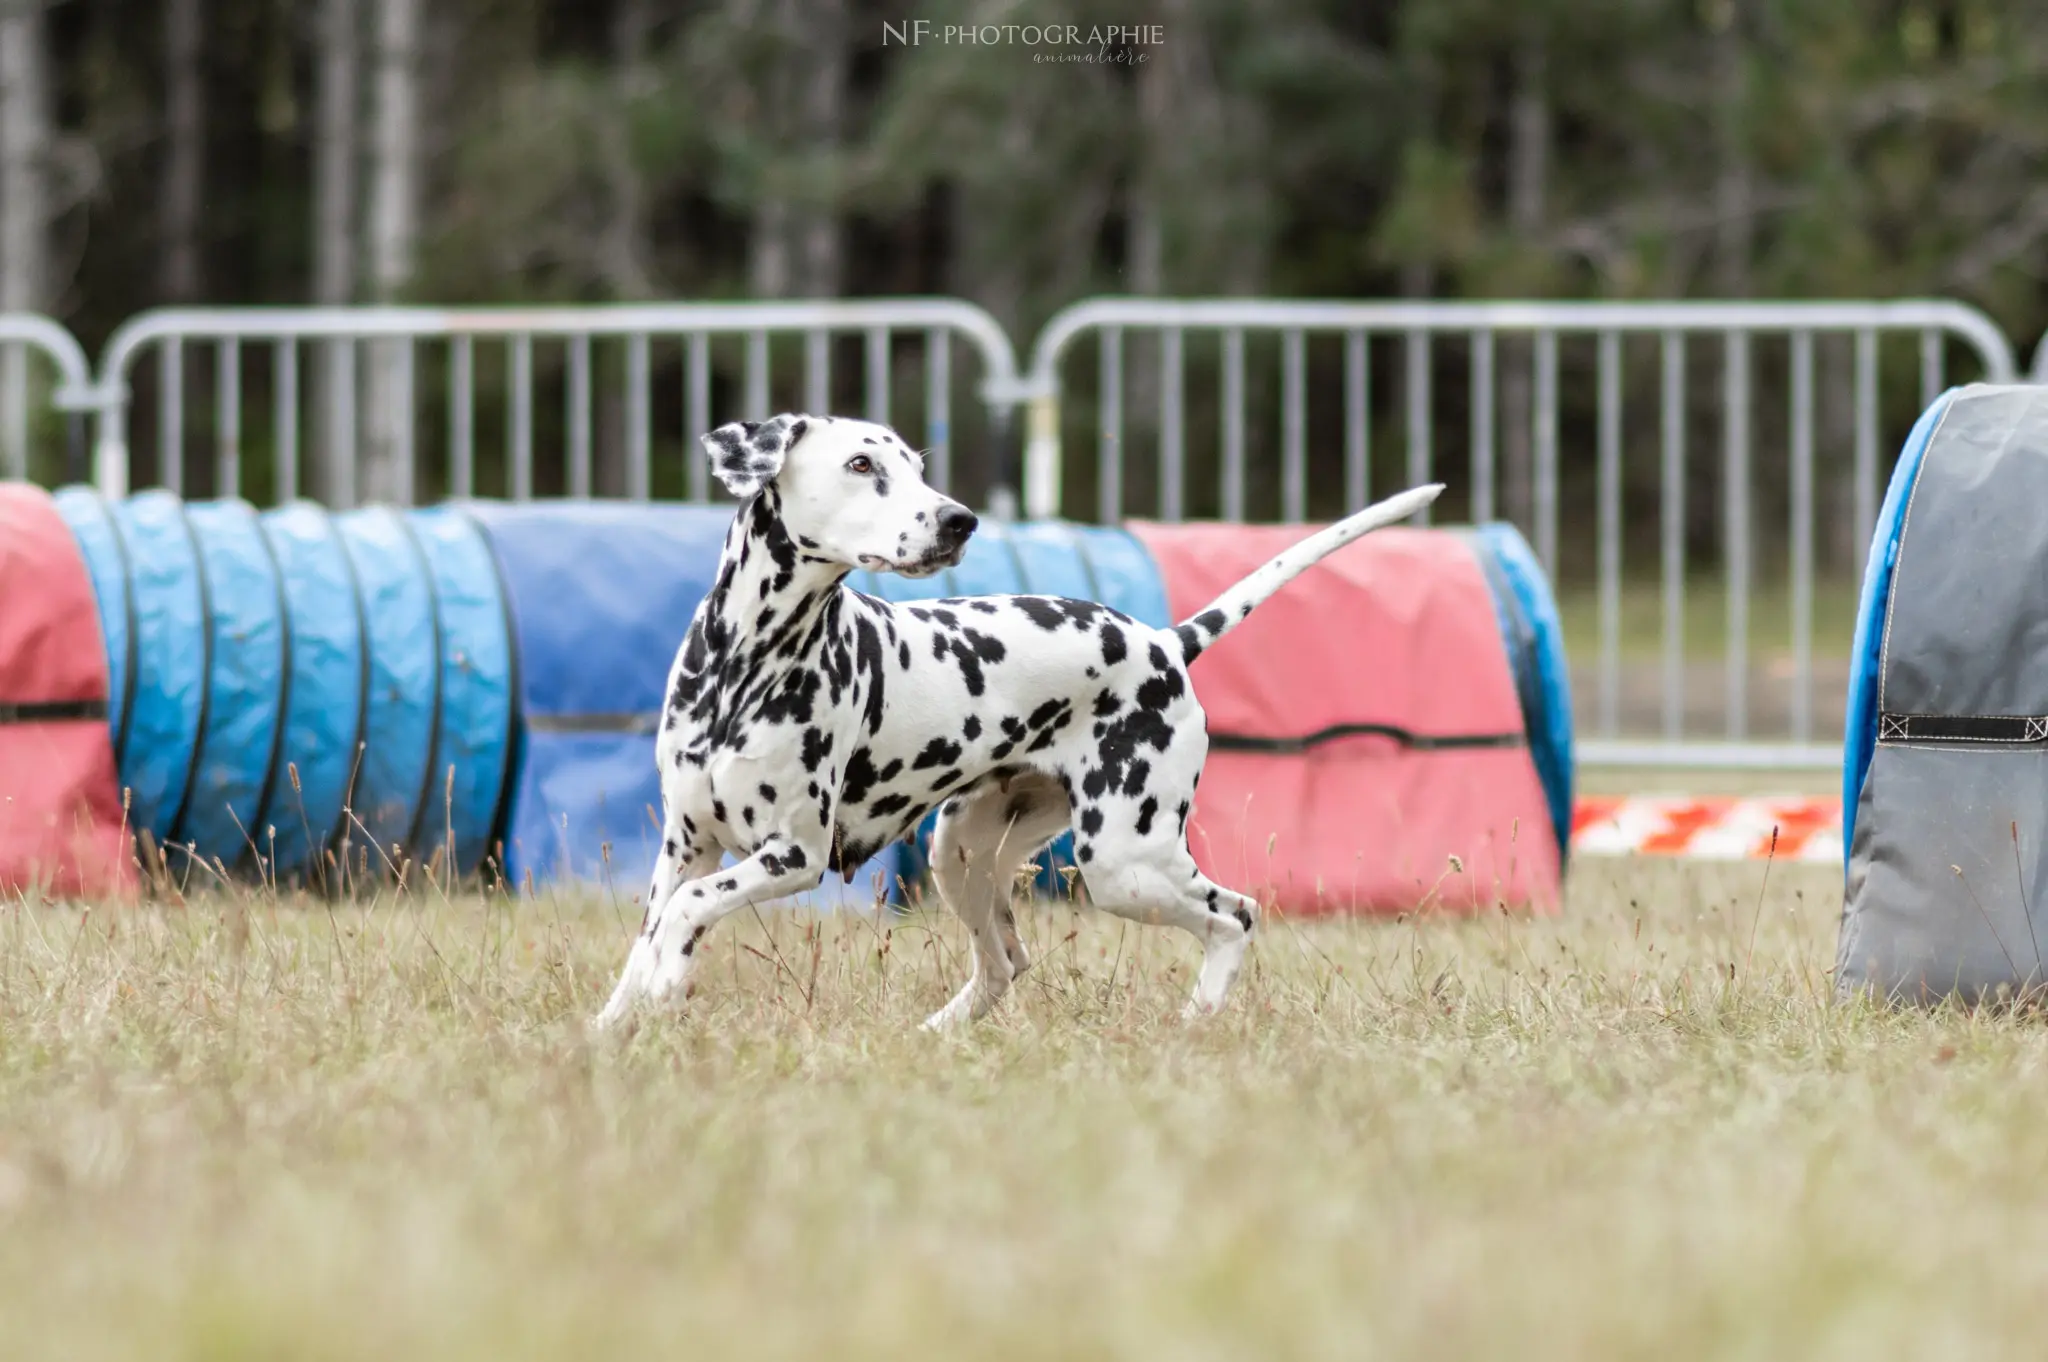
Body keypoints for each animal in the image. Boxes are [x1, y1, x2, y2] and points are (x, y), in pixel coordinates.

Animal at [593, 413, 1441, 1032]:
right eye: (862, 466)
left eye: (917, 465)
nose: (958, 520)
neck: (747, 663)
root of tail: (1164, 643)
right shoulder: (686, 845)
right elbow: (648, 935)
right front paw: (613, 1028)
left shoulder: (791, 855)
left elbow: (685, 916)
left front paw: (667, 981)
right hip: (962, 855)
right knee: (1003, 967)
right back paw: (933, 1037)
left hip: (1125, 862)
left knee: (1235, 917)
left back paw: (1194, 1024)